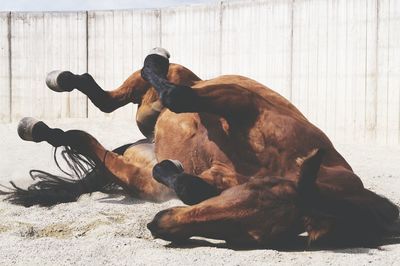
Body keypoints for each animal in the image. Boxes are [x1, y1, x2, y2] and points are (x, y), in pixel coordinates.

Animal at [2, 47, 396, 247]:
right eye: (259, 191)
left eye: (249, 237)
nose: (159, 225)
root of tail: (146, 140)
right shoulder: (241, 102)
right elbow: (179, 98)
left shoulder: (216, 177)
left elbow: (191, 188)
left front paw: (173, 172)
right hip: (162, 97)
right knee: (135, 90)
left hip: (137, 167)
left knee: (79, 136)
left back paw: (39, 127)